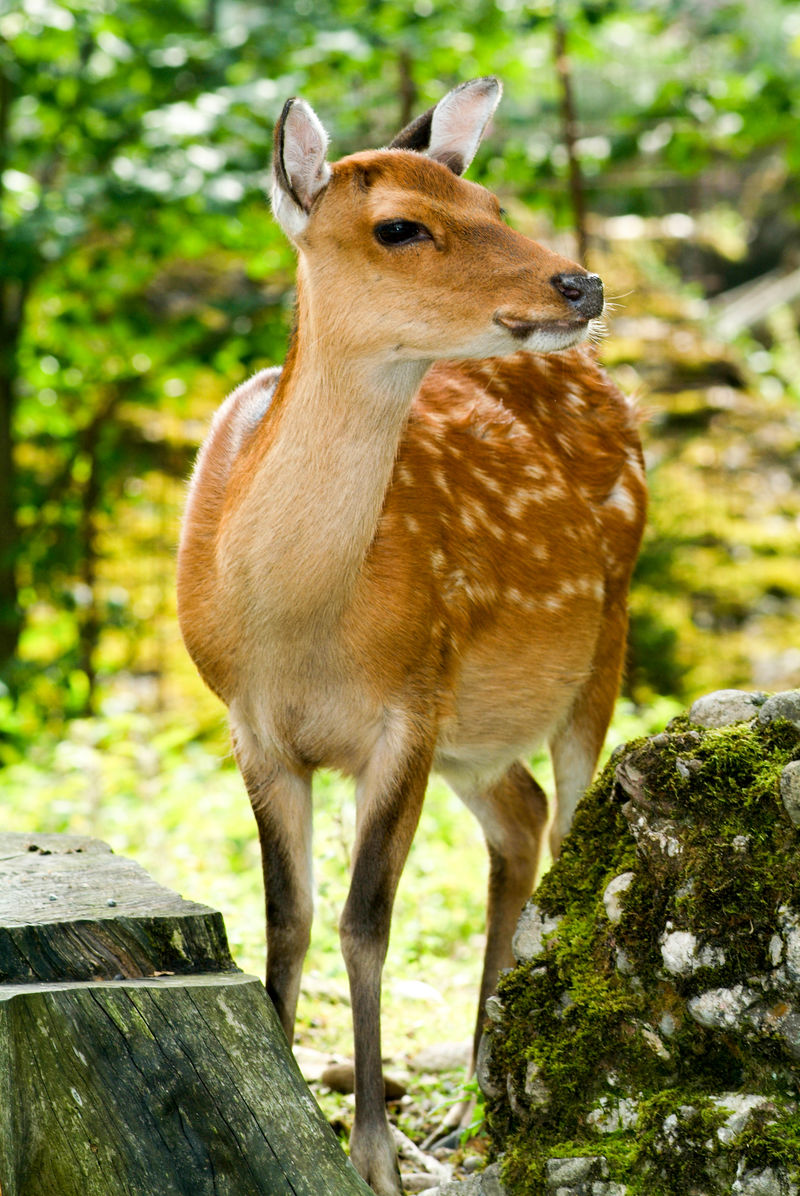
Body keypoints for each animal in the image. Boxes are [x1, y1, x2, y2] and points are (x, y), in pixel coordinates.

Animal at [178, 81, 645, 1196]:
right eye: (400, 225)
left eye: (488, 199)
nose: (580, 281)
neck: (296, 625)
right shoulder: (253, 730)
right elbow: (289, 920)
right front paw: (294, 1103)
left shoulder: (409, 704)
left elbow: (364, 923)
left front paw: (374, 1155)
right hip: (476, 730)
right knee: (518, 819)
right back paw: (476, 1087)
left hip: (598, 642)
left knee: (566, 827)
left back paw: (493, 1097)